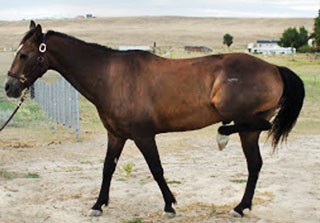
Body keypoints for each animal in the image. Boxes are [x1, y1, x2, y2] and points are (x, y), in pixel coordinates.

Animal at [5, 21, 304, 218]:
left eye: (25, 54)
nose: (9, 88)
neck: (111, 77)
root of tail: (274, 68)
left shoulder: (143, 136)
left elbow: (156, 169)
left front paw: (170, 205)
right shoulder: (116, 135)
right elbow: (107, 168)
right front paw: (98, 204)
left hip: (244, 118)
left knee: (257, 128)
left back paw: (222, 138)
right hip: (248, 132)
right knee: (255, 164)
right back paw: (241, 207)